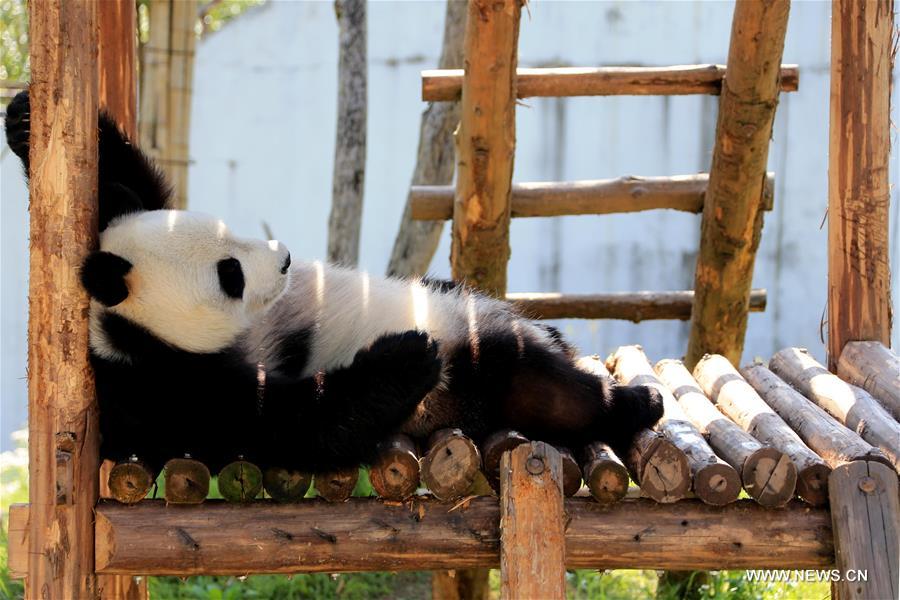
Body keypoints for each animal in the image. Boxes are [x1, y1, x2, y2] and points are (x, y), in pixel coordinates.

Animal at [5, 89, 660, 476]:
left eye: (228, 232)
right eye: (229, 274)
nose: (286, 259)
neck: (123, 332)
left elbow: (137, 192)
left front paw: (27, 117)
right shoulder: (166, 390)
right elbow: (293, 425)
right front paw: (405, 356)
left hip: (464, 306)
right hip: (478, 375)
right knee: (542, 387)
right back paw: (635, 402)